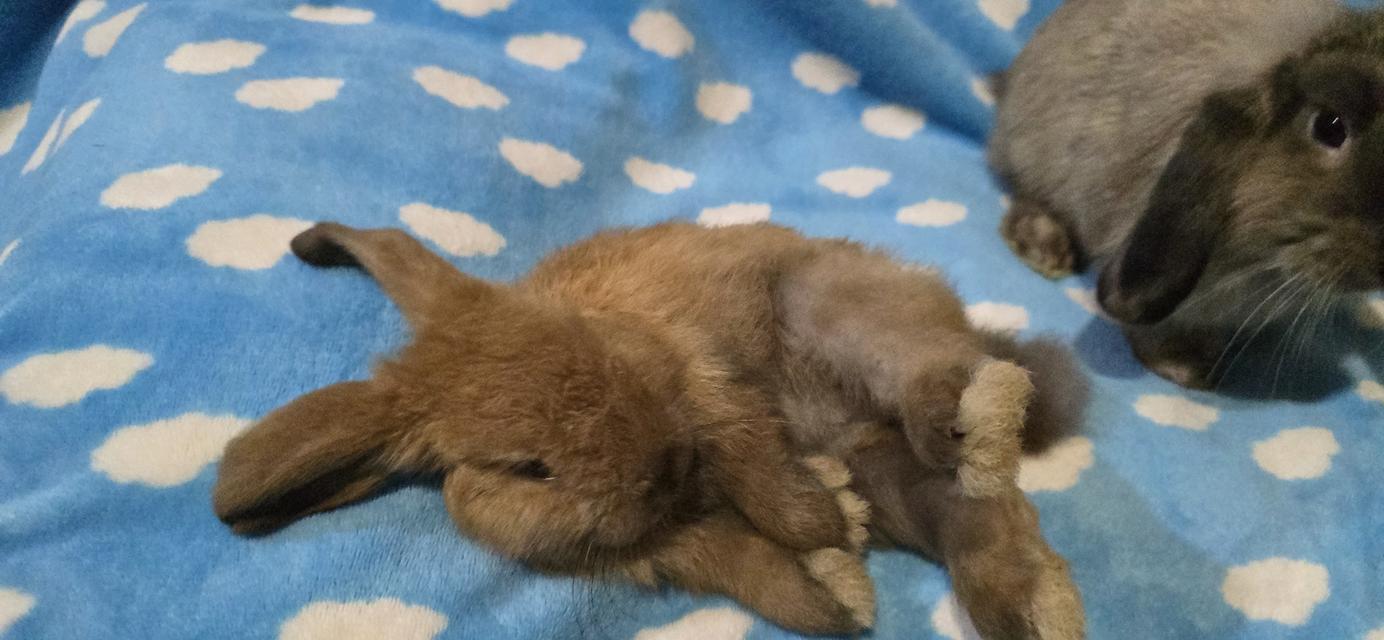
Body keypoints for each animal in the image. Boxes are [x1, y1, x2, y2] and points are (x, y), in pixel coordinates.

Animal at [213, 220, 1086, 639]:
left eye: (585, 338)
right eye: (527, 467)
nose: (662, 466)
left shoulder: (705, 385)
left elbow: (757, 467)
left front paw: (820, 519)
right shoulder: (648, 546)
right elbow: (732, 557)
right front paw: (833, 586)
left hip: (839, 307)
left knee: (937, 367)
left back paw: (977, 414)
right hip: (889, 466)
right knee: (978, 514)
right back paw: (1035, 611)